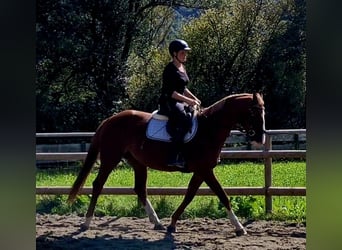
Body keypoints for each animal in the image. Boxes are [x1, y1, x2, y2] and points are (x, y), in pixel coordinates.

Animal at [68, 93, 266, 235]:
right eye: (253, 112)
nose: (260, 138)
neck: (209, 129)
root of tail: (110, 120)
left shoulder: (201, 171)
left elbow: (189, 195)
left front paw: (172, 223)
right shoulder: (205, 170)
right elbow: (222, 195)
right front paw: (239, 227)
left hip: (138, 162)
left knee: (140, 189)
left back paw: (157, 223)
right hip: (111, 158)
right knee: (98, 185)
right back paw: (86, 222)